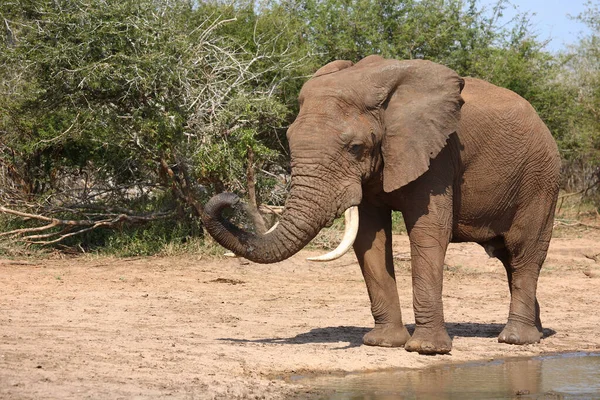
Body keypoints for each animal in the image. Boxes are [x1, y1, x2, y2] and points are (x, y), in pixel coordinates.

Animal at [203, 54, 564, 354]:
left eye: (355, 148)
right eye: (290, 139)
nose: (230, 198)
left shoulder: (438, 155)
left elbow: (428, 232)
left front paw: (426, 350)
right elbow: (369, 237)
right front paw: (383, 343)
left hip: (541, 179)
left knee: (524, 252)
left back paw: (516, 339)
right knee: (509, 259)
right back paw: (537, 333)